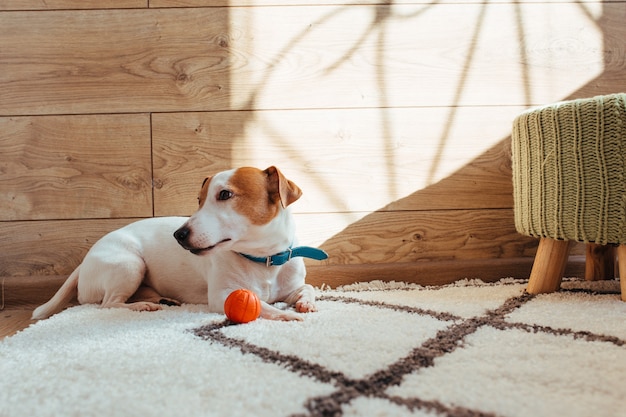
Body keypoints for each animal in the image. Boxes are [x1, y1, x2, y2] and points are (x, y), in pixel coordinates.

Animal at [31, 167, 326, 322]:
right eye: (199, 199)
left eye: (225, 194)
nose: (179, 234)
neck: (264, 260)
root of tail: (84, 262)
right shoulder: (222, 296)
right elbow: (263, 306)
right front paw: (288, 316)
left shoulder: (291, 285)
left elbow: (308, 288)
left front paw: (306, 304)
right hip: (129, 264)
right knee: (107, 304)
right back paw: (142, 306)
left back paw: (162, 299)